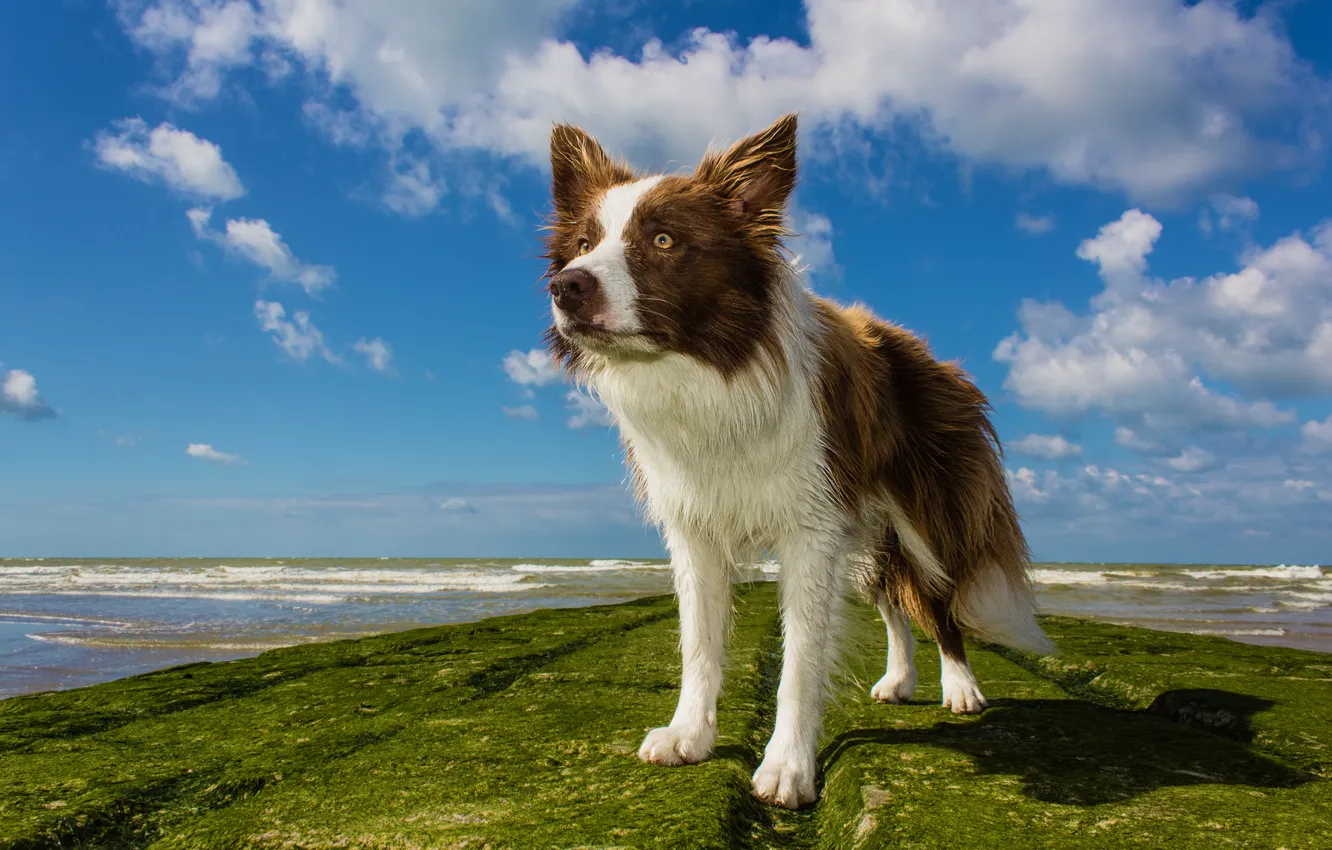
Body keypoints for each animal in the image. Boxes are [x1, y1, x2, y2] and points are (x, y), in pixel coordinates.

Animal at [538, 113, 1049, 810]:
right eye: (583, 243)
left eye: (664, 240)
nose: (565, 286)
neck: (709, 374)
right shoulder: (695, 527)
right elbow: (699, 644)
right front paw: (689, 735)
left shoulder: (812, 526)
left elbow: (802, 658)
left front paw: (787, 767)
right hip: (864, 530)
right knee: (890, 599)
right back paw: (900, 678)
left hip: (925, 513)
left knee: (938, 597)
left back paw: (960, 686)